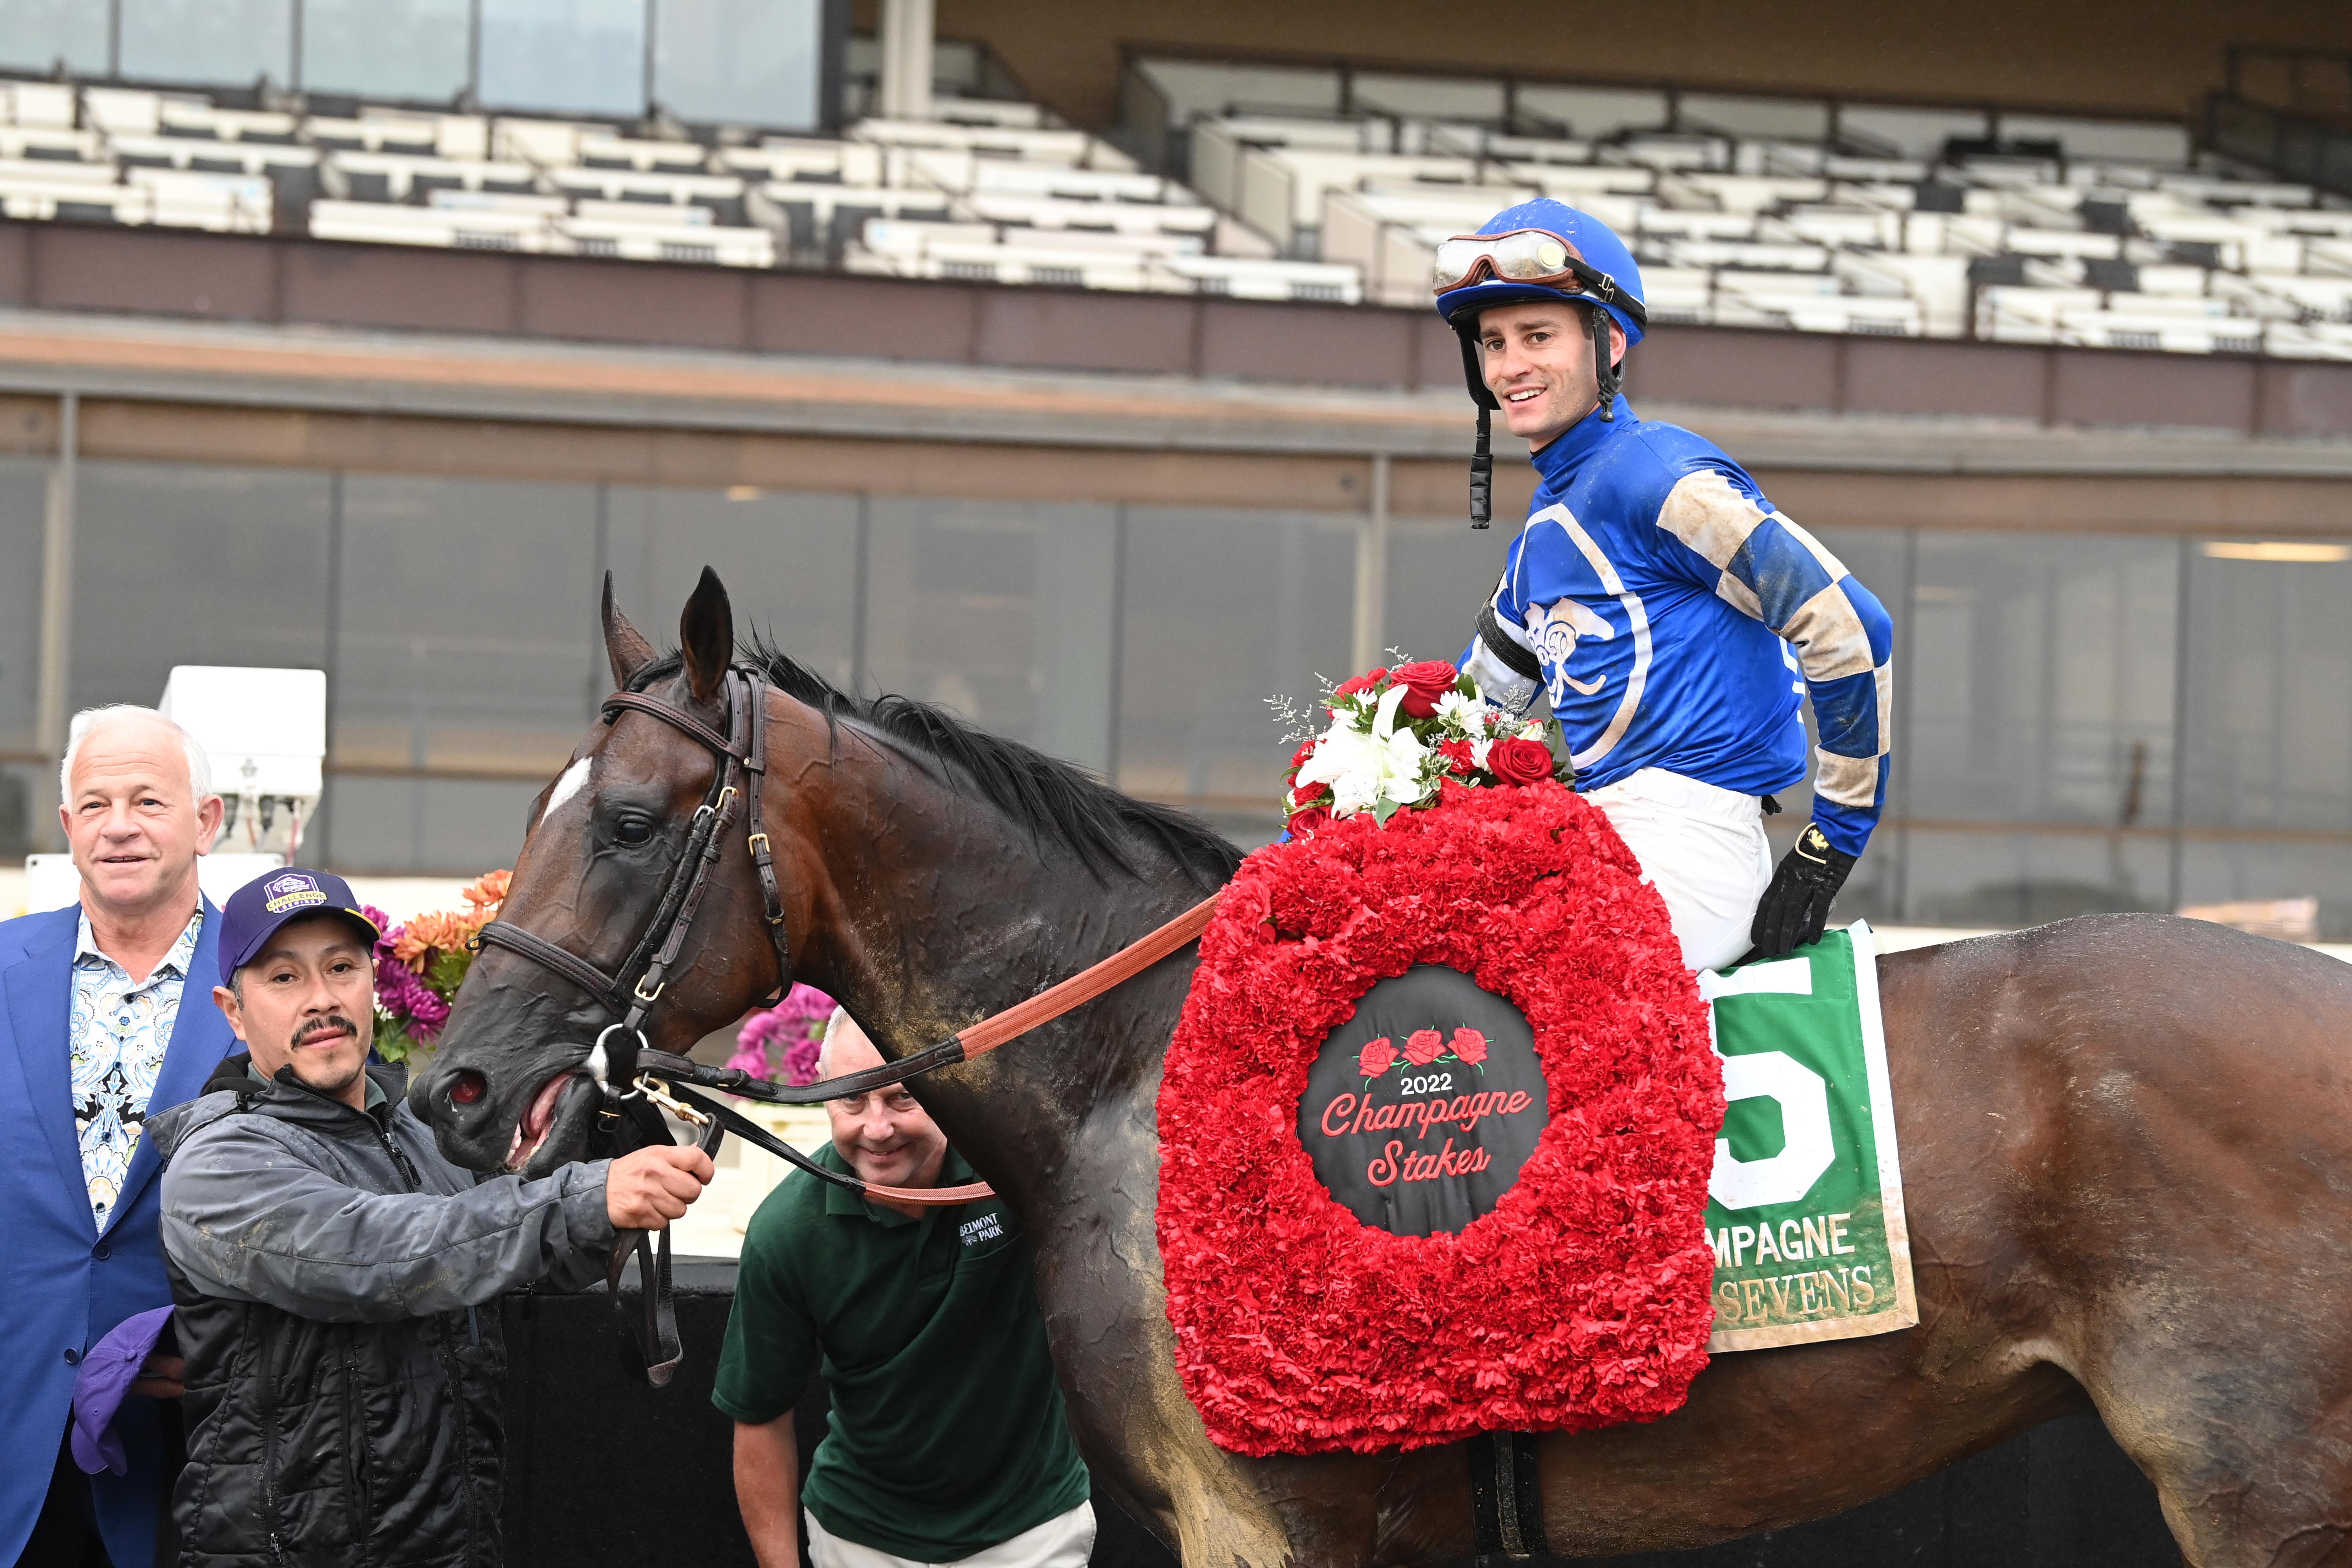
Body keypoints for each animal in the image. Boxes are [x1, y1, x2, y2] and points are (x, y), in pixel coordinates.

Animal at [414, 573, 2352, 1568]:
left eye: (635, 820)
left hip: (2261, 1490)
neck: (1136, 1061)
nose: (455, 1087)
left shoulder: (1258, 1521)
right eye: (540, 812)